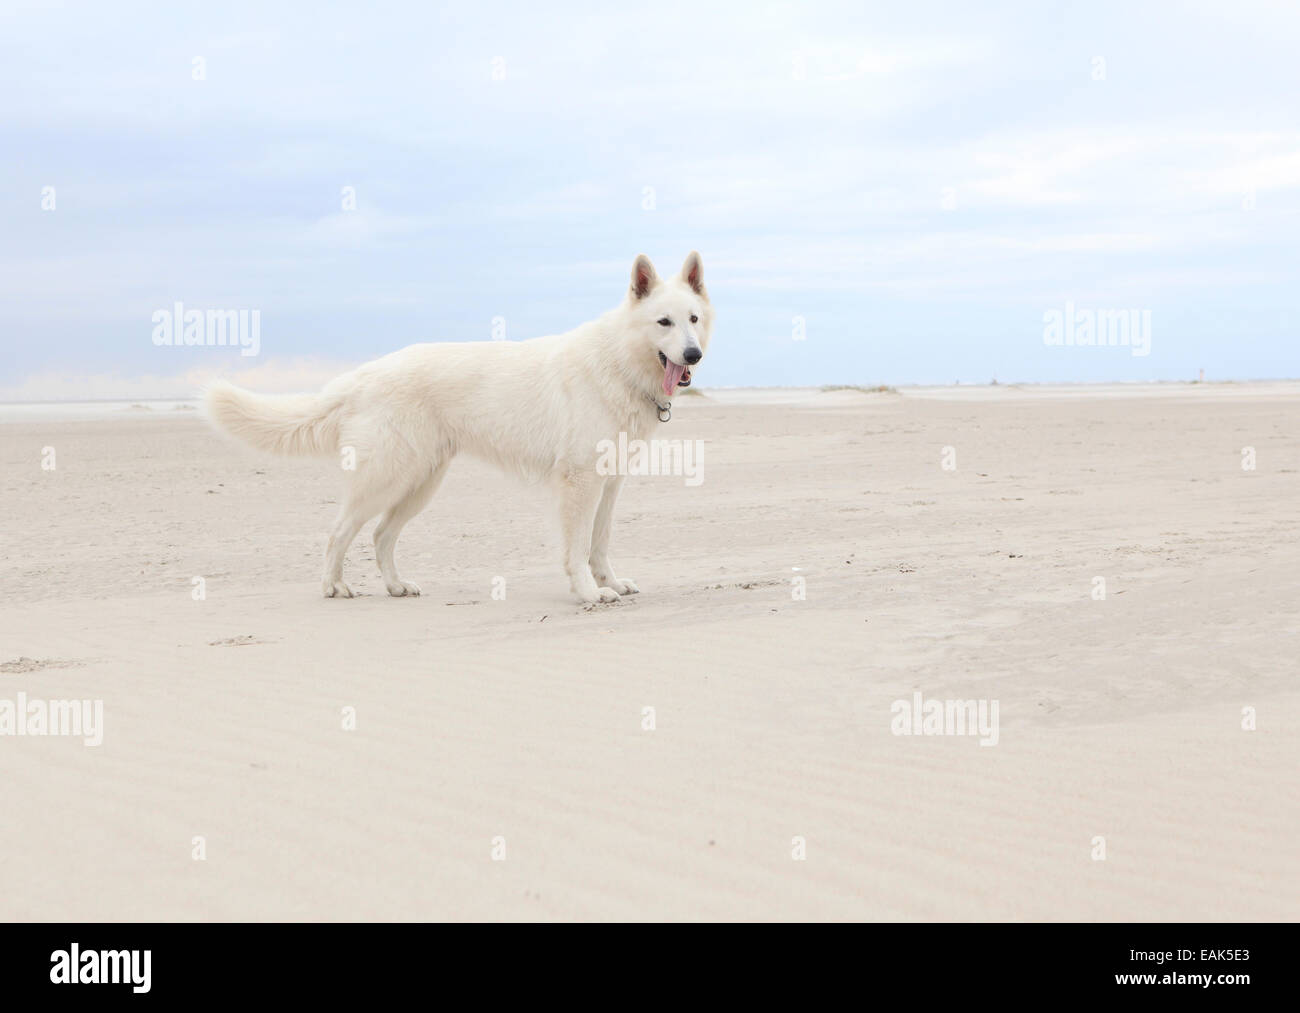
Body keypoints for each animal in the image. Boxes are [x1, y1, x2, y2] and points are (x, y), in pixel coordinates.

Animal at [205, 252, 712, 603]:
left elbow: (599, 544)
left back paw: (395, 586)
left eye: (693, 319)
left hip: (421, 484)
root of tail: (366, 374)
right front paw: (588, 592)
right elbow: (577, 549)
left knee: (380, 535)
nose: (693, 355)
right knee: (339, 530)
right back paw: (333, 586)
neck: (618, 362)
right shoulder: (580, 484)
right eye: (663, 322)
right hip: (387, 479)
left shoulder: (609, 484)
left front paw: (610, 582)